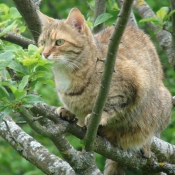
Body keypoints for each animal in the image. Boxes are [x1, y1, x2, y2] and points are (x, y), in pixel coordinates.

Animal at [37, 7, 172, 175]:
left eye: (59, 42)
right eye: (42, 43)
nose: (44, 54)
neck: (66, 75)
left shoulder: (134, 83)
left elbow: (113, 105)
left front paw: (100, 116)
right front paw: (69, 112)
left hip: (162, 102)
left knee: (151, 133)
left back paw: (145, 146)